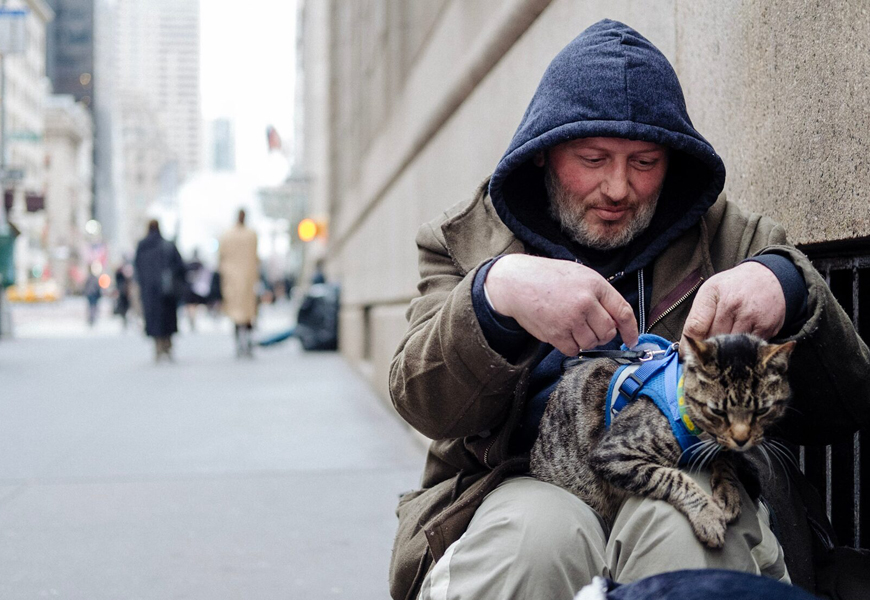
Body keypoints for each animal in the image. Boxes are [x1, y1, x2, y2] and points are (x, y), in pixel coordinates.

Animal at [532, 332, 796, 548]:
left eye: (763, 410)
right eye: (717, 411)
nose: (742, 439)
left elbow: (724, 456)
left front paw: (728, 490)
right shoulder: (612, 453)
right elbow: (672, 478)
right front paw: (708, 514)